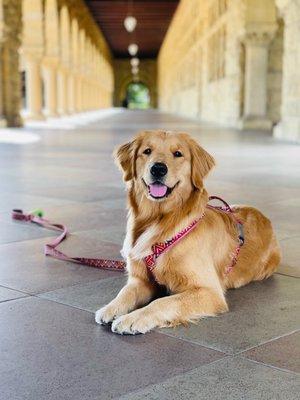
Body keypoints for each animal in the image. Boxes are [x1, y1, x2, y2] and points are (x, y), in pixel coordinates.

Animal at [95, 130, 280, 334]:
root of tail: (265, 217)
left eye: (178, 154)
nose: (158, 169)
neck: (161, 223)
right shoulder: (141, 280)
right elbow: (126, 292)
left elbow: (161, 302)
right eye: (147, 151)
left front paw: (132, 319)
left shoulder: (209, 292)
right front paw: (110, 308)